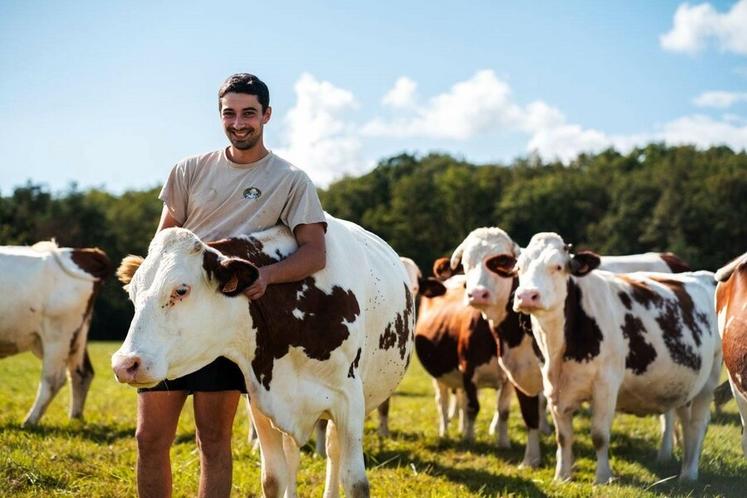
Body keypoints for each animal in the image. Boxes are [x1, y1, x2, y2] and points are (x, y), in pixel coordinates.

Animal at [0, 240, 110, 424]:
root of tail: (83, 253)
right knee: (82, 373)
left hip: (57, 335)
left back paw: (30, 421)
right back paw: (75, 418)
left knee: (53, 380)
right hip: (78, 335)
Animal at [111, 215, 414, 498]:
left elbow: (355, 482)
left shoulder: (349, 401)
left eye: (181, 290)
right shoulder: (262, 401)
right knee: (293, 453)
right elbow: (273, 478)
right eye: (132, 293)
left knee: (332, 450)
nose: (124, 364)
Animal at [516, 233, 724, 482]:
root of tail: (706, 276)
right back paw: (683, 469)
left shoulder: (606, 384)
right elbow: (563, 437)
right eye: (518, 268)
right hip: (686, 384)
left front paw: (603, 477)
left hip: (710, 378)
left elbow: (599, 435)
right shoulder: (553, 387)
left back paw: (689, 474)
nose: (526, 296)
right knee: (685, 421)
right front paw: (562, 476)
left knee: (698, 424)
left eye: (557, 266)